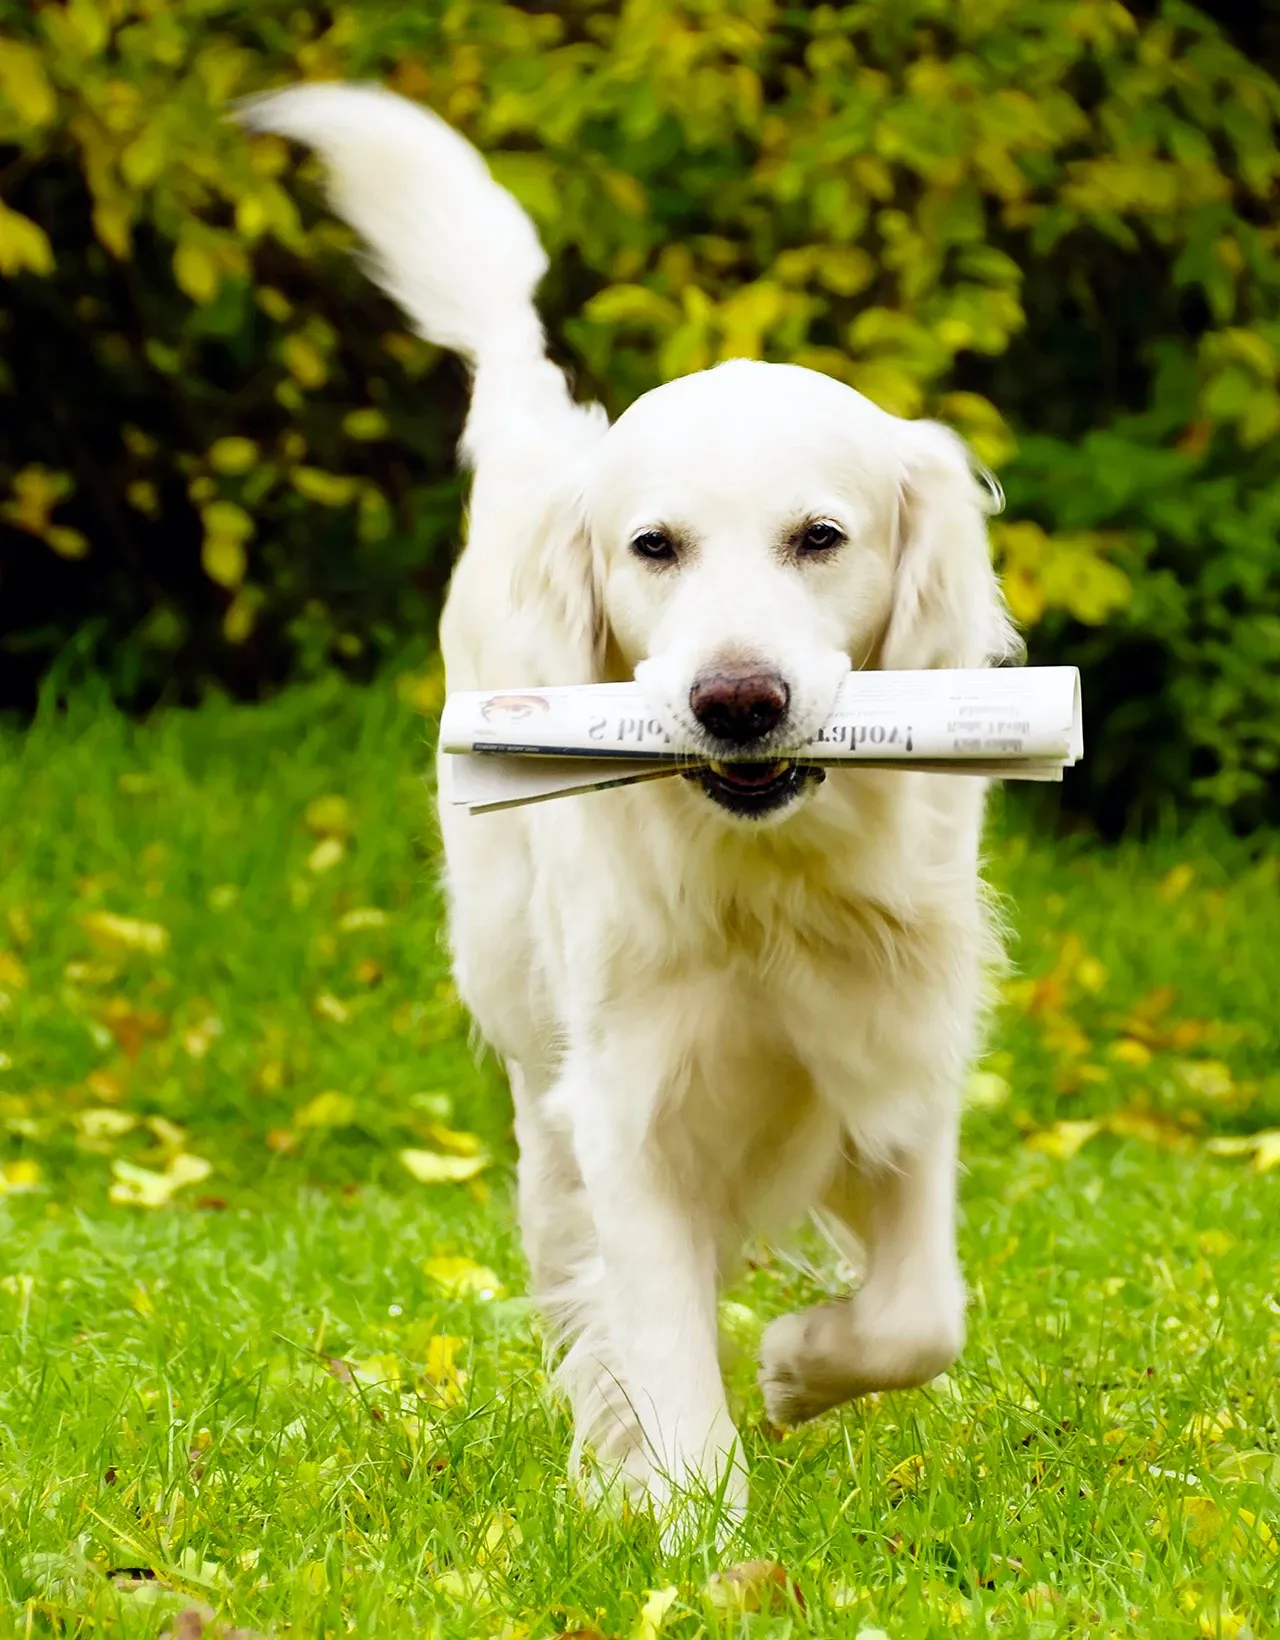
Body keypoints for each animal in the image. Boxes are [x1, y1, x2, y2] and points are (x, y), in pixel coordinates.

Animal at [244, 83, 1017, 1541]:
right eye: (653, 547)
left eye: (820, 538)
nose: (737, 702)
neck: (767, 875)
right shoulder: (631, 1103)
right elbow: (664, 1355)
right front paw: (697, 1544)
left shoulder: (897, 1048)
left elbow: (919, 1314)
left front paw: (799, 1367)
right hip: (531, 1056)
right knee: (572, 1267)